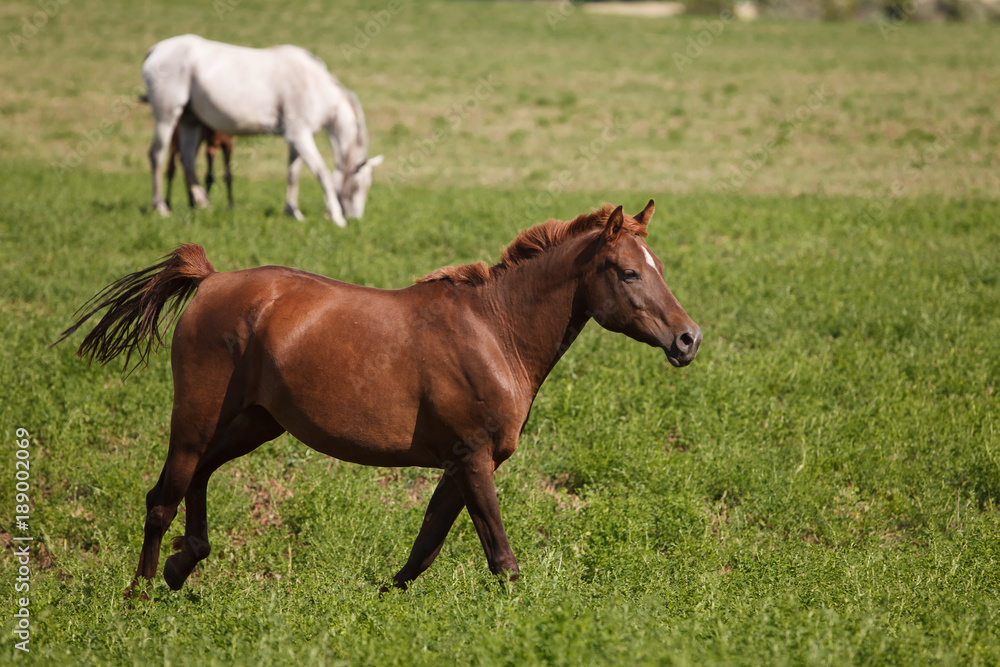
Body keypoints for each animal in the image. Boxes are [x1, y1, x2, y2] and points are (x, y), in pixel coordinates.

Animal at [60, 200, 704, 600]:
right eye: (627, 273)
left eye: (658, 267)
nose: (688, 339)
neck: (495, 332)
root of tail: (211, 280)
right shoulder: (474, 458)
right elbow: (499, 553)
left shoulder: (462, 463)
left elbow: (426, 546)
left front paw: (379, 598)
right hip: (195, 419)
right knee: (161, 498)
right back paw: (141, 593)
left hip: (253, 423)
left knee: (198, 480)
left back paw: (182, 563)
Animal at [145, 34, 382, 227]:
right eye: (360, 186)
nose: (355, 217)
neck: (316, 87)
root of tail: (155, 49)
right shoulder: (300, 135)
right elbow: (322, 172)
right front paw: (337, 217)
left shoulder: (295, 139)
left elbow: (293, 174)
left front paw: (293, 212)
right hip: (167, 115)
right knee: (157, 155)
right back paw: (161, 207)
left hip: (189, 121)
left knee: (188, 160)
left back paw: (203, 204)